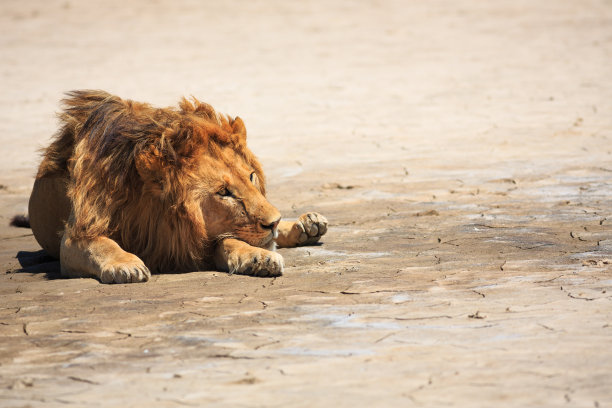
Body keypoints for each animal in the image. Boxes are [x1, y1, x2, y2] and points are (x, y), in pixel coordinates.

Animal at [26, 90, 328, 284]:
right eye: (223, 193)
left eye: (251, 177)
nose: (274, 222)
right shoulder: (75, 236)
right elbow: (101, 244)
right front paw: (126, 265)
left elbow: (231, 241)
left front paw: (260, 258)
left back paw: (307, 224)